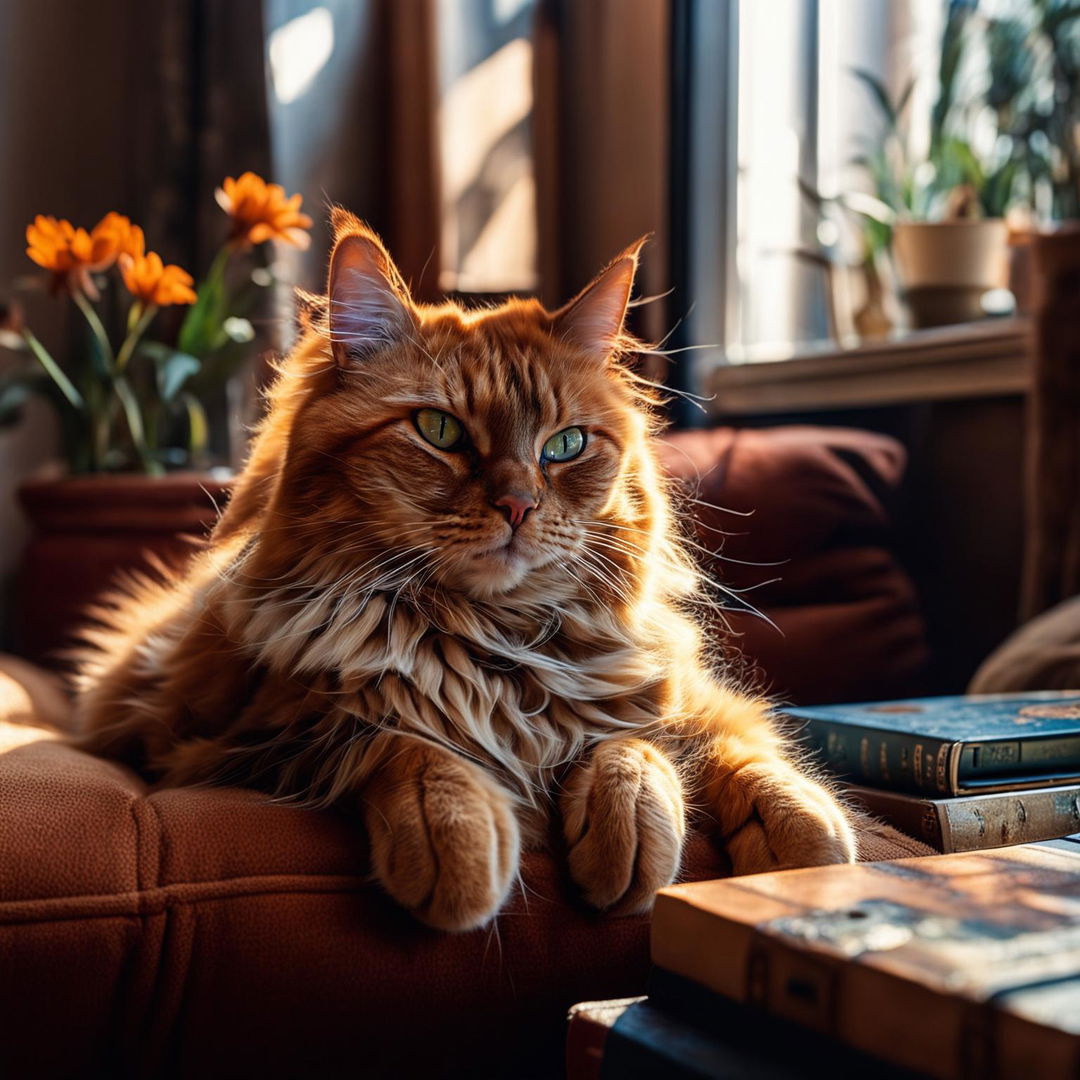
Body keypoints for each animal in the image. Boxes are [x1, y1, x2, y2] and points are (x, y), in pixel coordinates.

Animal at [73, 210, 851, 928]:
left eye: (566, 445)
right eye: (439, 431)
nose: (518, 504)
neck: (498, 644)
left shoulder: (676, 691)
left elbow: (689, 746)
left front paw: (792, 849)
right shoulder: (243, 733)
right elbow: (402, 741)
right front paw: (458, 843)